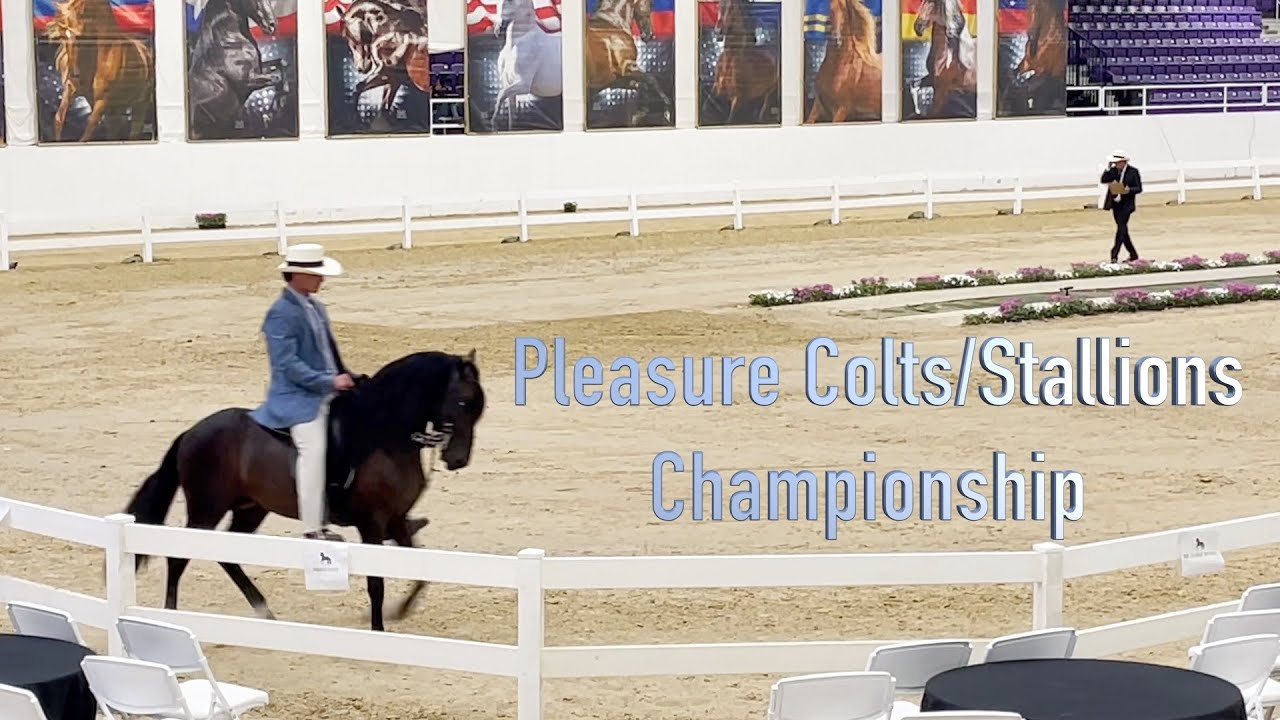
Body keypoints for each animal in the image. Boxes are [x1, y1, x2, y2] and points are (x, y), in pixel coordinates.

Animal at [46, 0, 154, 142]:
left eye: (80, 35)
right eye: (62, 36)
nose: (73, 74)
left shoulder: (102, 100)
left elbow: (88, 131)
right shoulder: (72, 90)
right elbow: (59, 119)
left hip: (139, 105)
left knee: (134, 131)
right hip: (117, 107)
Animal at [122, 350, 486, 632]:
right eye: (463, 401)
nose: (458, 459)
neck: (385, 435)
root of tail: (190, 433)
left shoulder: (396, 518)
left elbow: (419, 569)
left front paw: (400, 611)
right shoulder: (372, 523)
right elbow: (376, 583)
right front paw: (378, 629)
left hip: (250, 508)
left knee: (228, 555)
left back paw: (264, 611)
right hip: (206, 509)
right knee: (178, 557)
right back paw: (171, 615)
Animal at [491, 0, 563, 130]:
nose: (499, 27)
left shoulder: (523, 84)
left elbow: (500, 94)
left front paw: (494, 124)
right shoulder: (508, 84)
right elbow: (511, 113)